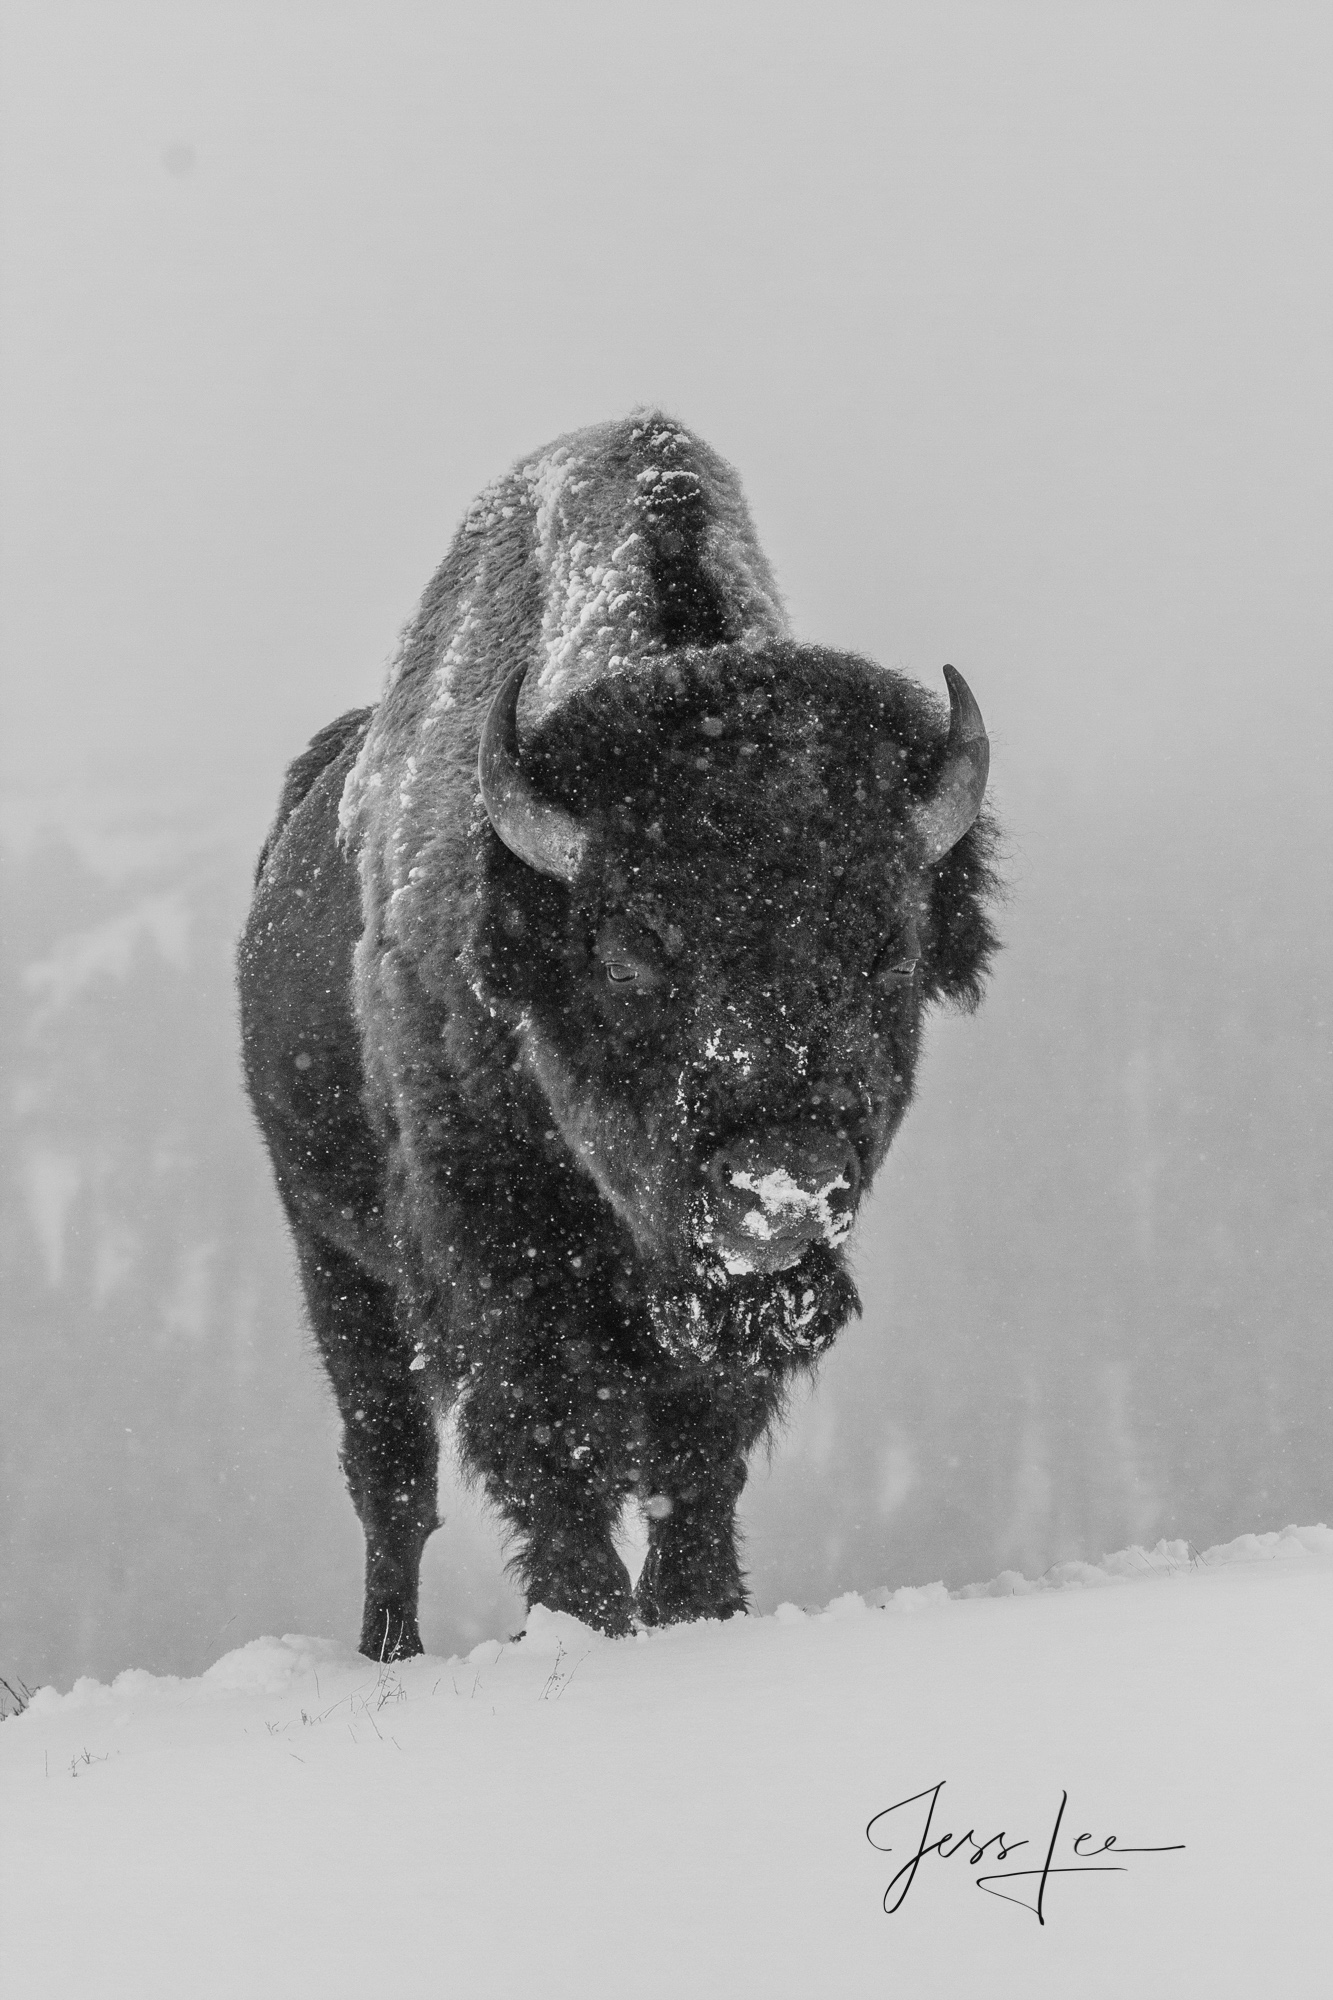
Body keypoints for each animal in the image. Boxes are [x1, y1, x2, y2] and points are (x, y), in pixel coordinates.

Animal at [236, 414, 996, 1664]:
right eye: (635, 950)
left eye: (887, 948)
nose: (780, 1185)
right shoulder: (494, 1262)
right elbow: (554, 1441)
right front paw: (579, 1619)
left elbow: (697, 1452)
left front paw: (697, 1605)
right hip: (332, 1256)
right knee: (390, 1470)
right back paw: (388, 1647)